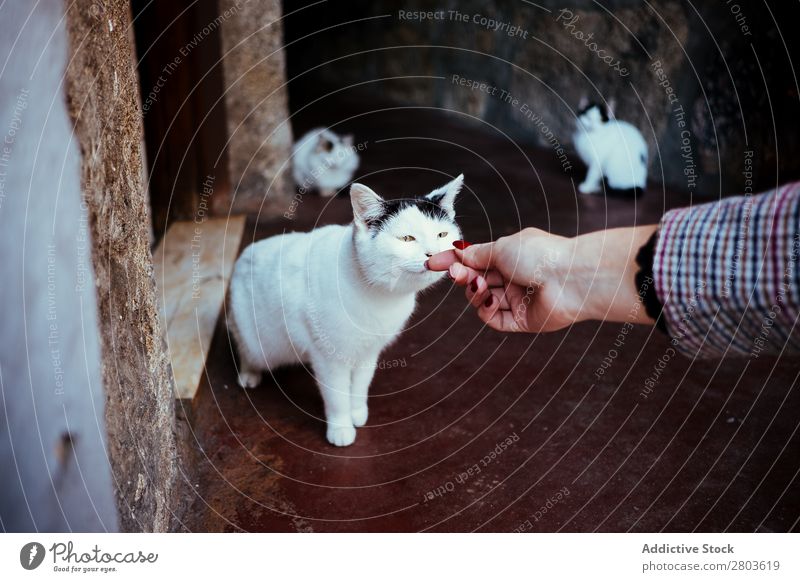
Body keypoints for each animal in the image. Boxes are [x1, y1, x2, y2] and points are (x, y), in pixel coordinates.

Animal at [225, 173, 462, 448]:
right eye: (407, 239)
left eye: (442, 234)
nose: (432, 254)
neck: (382, 296)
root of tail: (243, 256)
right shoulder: (329, 357)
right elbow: (337, 395)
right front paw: (341, 427)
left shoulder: (369, 352)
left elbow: (359, 386)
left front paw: (357, 412)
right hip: (256, 340)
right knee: (244, 348)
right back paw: (248, 374)